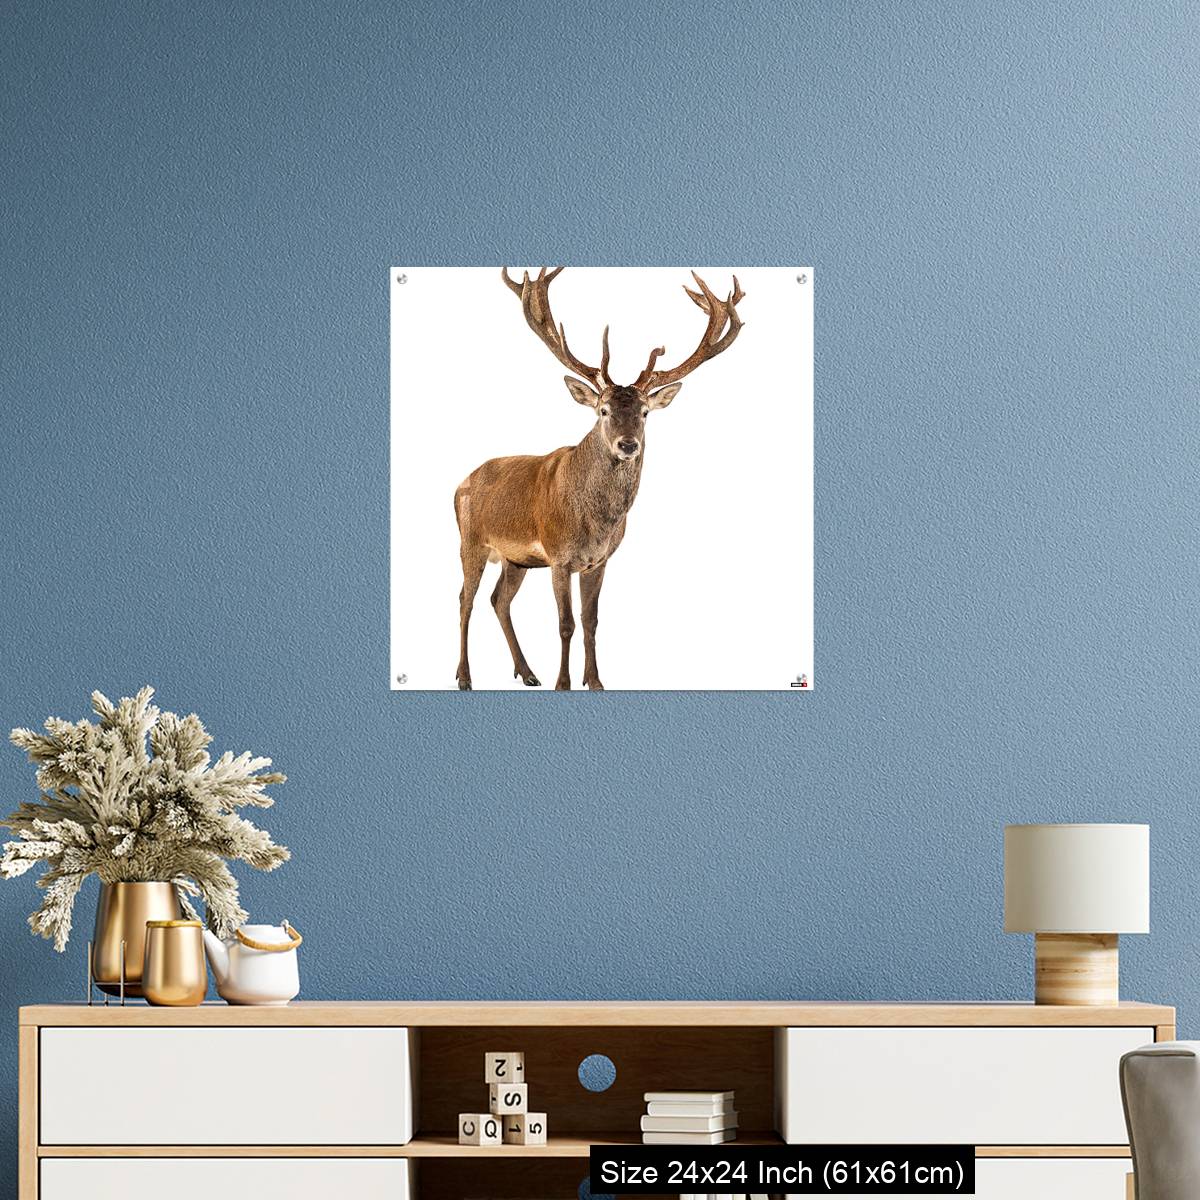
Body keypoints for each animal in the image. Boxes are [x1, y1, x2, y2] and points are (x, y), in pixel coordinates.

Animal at [453, 267, 745, 691]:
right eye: (603, 410)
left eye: (645, 413)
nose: (628, 444)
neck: (595, 524)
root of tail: (460, 483)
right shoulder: (559, 556)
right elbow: (565, 624)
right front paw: (563, 683)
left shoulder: (599, 561)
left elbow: (591, 622)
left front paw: (595, 681)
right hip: (471, 541)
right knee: (466, 599)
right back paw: (464, 676)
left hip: (515, 558)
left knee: (498, 600)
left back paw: (527, 672)